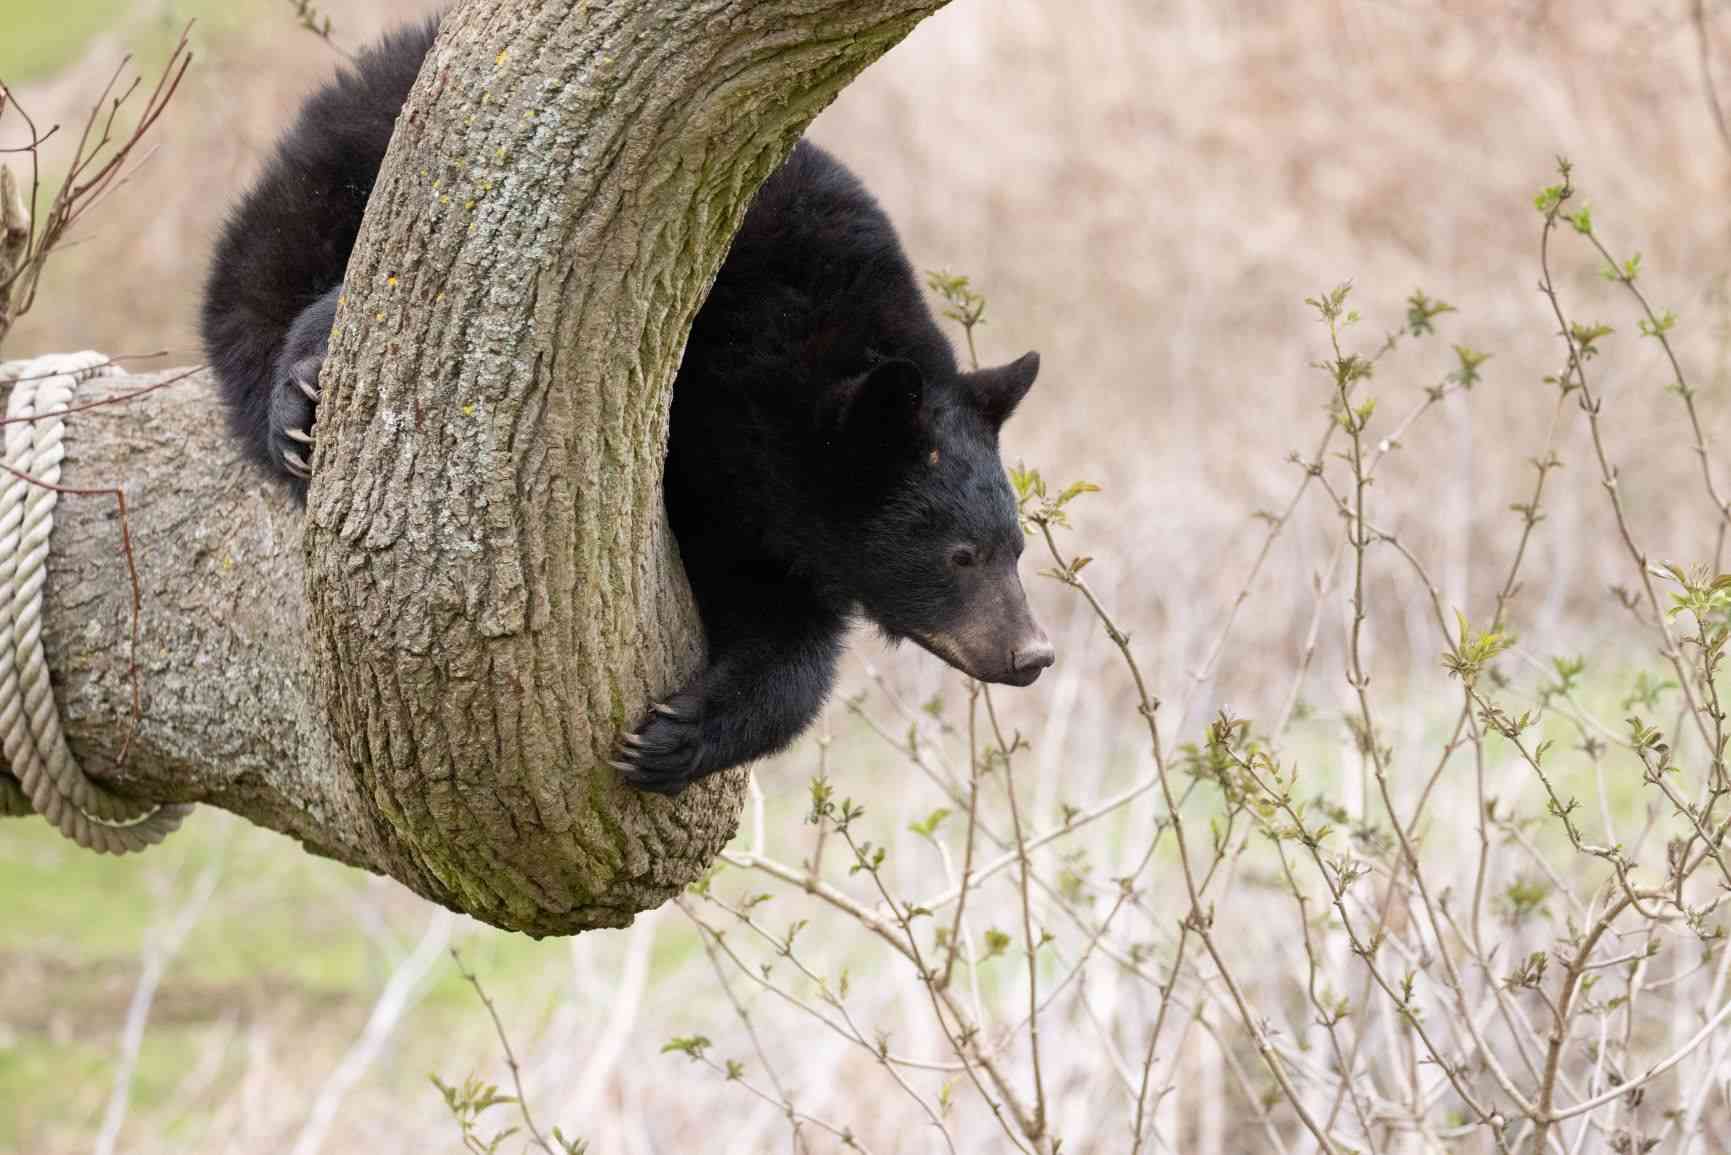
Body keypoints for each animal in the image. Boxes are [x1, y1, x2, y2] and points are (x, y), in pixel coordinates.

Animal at [201, 19, 1053, 796]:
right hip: (337, 169)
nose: (1032, 653)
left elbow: (791, 636)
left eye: (1015, 547)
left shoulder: (773, 519)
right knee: (257, 286)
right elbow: (376, 296)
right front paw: (306, 393)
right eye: (962, 555)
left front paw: (678, 734)